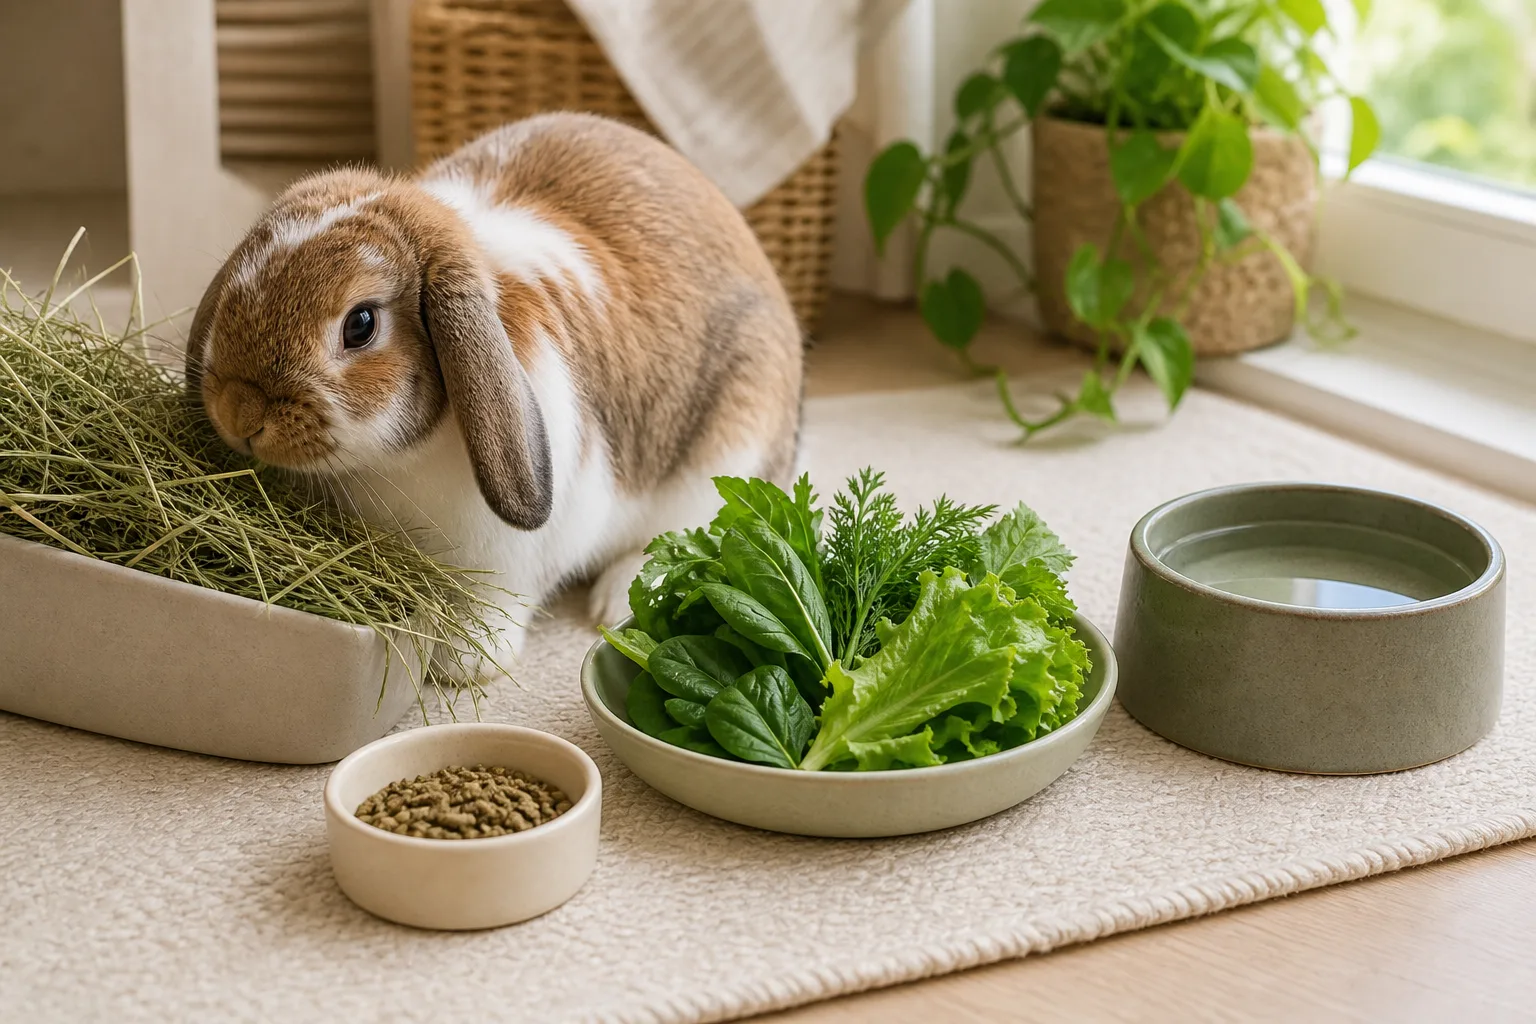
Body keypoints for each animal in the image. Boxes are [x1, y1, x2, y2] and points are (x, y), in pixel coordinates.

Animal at [185, 112, 804, 668]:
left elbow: (495, 608)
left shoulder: (517, 558)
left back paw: (615, 601)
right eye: (242, 278)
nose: (240, 414)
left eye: (360, 324)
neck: (387, 462)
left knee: (682, 538)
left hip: (722, 458)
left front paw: (461, 665)